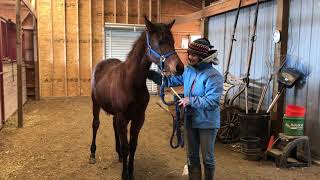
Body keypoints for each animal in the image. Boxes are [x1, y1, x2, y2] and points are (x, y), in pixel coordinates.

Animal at [90, 16, 185, 179]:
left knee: (114, 127)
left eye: (172, 42)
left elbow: (133, 146)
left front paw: (131, 171)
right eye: (159, 42)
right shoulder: (123, 118)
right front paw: (124, 174)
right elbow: (127, 147)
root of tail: (100, 64)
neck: (131, 82)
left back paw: (119, 154)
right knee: (95, 124)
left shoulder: (138, 118)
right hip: (96, 104)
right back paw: (92, 154)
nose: (179, 68)